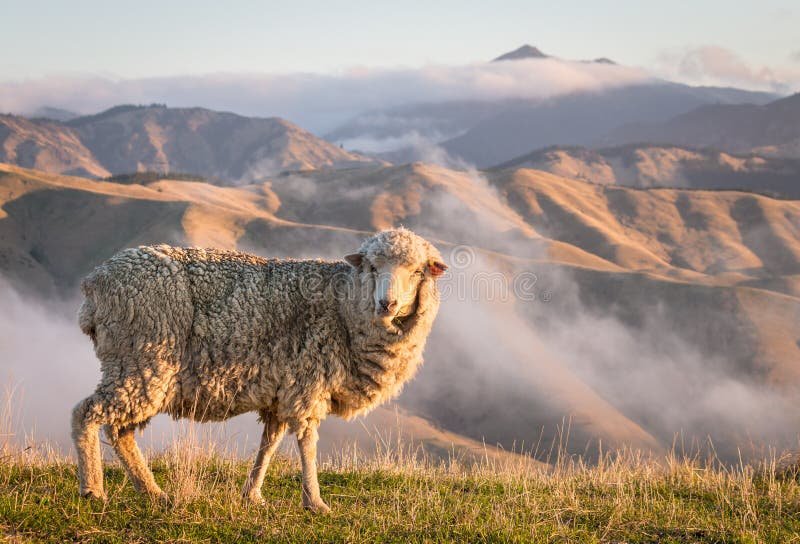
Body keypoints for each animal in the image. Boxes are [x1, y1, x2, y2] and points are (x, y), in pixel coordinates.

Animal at [71, 228, 447, 512]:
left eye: (418, 271)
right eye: (371, 267)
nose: (387, 304)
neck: (343, 309)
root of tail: (94, 284)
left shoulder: (282, 390)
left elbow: (270, 444)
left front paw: (252, 494)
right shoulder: (308, 384)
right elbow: (307, 443)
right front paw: (315, 502)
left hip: (138, 369)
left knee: (120, 431)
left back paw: (152, 492)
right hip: (142, 361)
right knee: (86, 412)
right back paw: (93, 489)